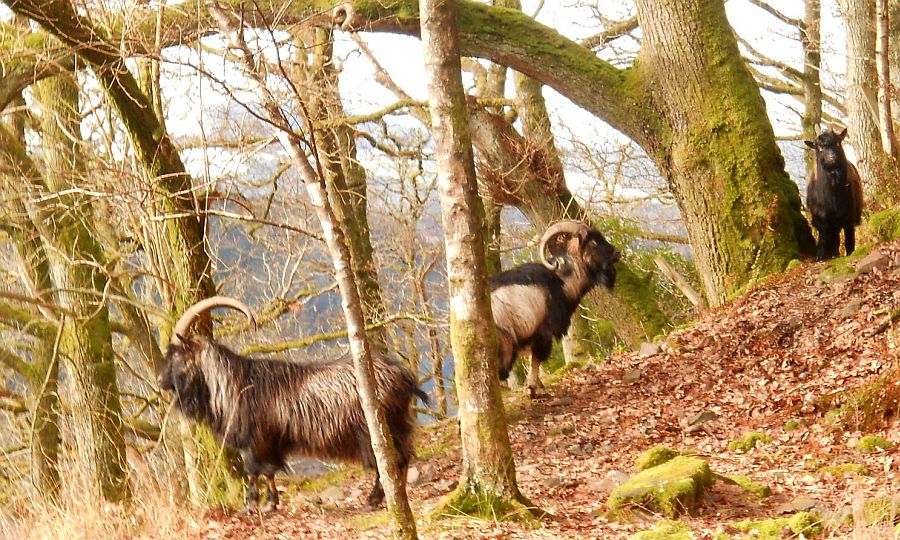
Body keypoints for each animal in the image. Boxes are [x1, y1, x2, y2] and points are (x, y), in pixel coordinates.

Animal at [158, 298, 426, 512]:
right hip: (397, 426)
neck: (236, 384)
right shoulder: (268, 443)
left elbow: (255, 471)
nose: (161, 382)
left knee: (391, 461)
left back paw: (375, 499)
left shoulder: (257, 442)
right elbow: (268, 471)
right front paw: (271, 502)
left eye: (177, 354)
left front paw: (254, 505)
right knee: (402, 458)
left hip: (378, 431)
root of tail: (404, 376)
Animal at [488, 219, 624, 396]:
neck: (561, 282)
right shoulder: (544, 331)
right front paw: (534, 388)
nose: (618, 252)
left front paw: (537, 386)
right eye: (593, 242)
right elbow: (537, 359)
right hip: (505, 343)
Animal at [800, 127, 864, 260]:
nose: (831, 159)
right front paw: (819, 256)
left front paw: (842, 253)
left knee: (844, 231)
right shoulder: (819, 215)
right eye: (818, 148)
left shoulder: (845, 213)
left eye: (838, 142)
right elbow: (823, 234)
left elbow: (842, 232)